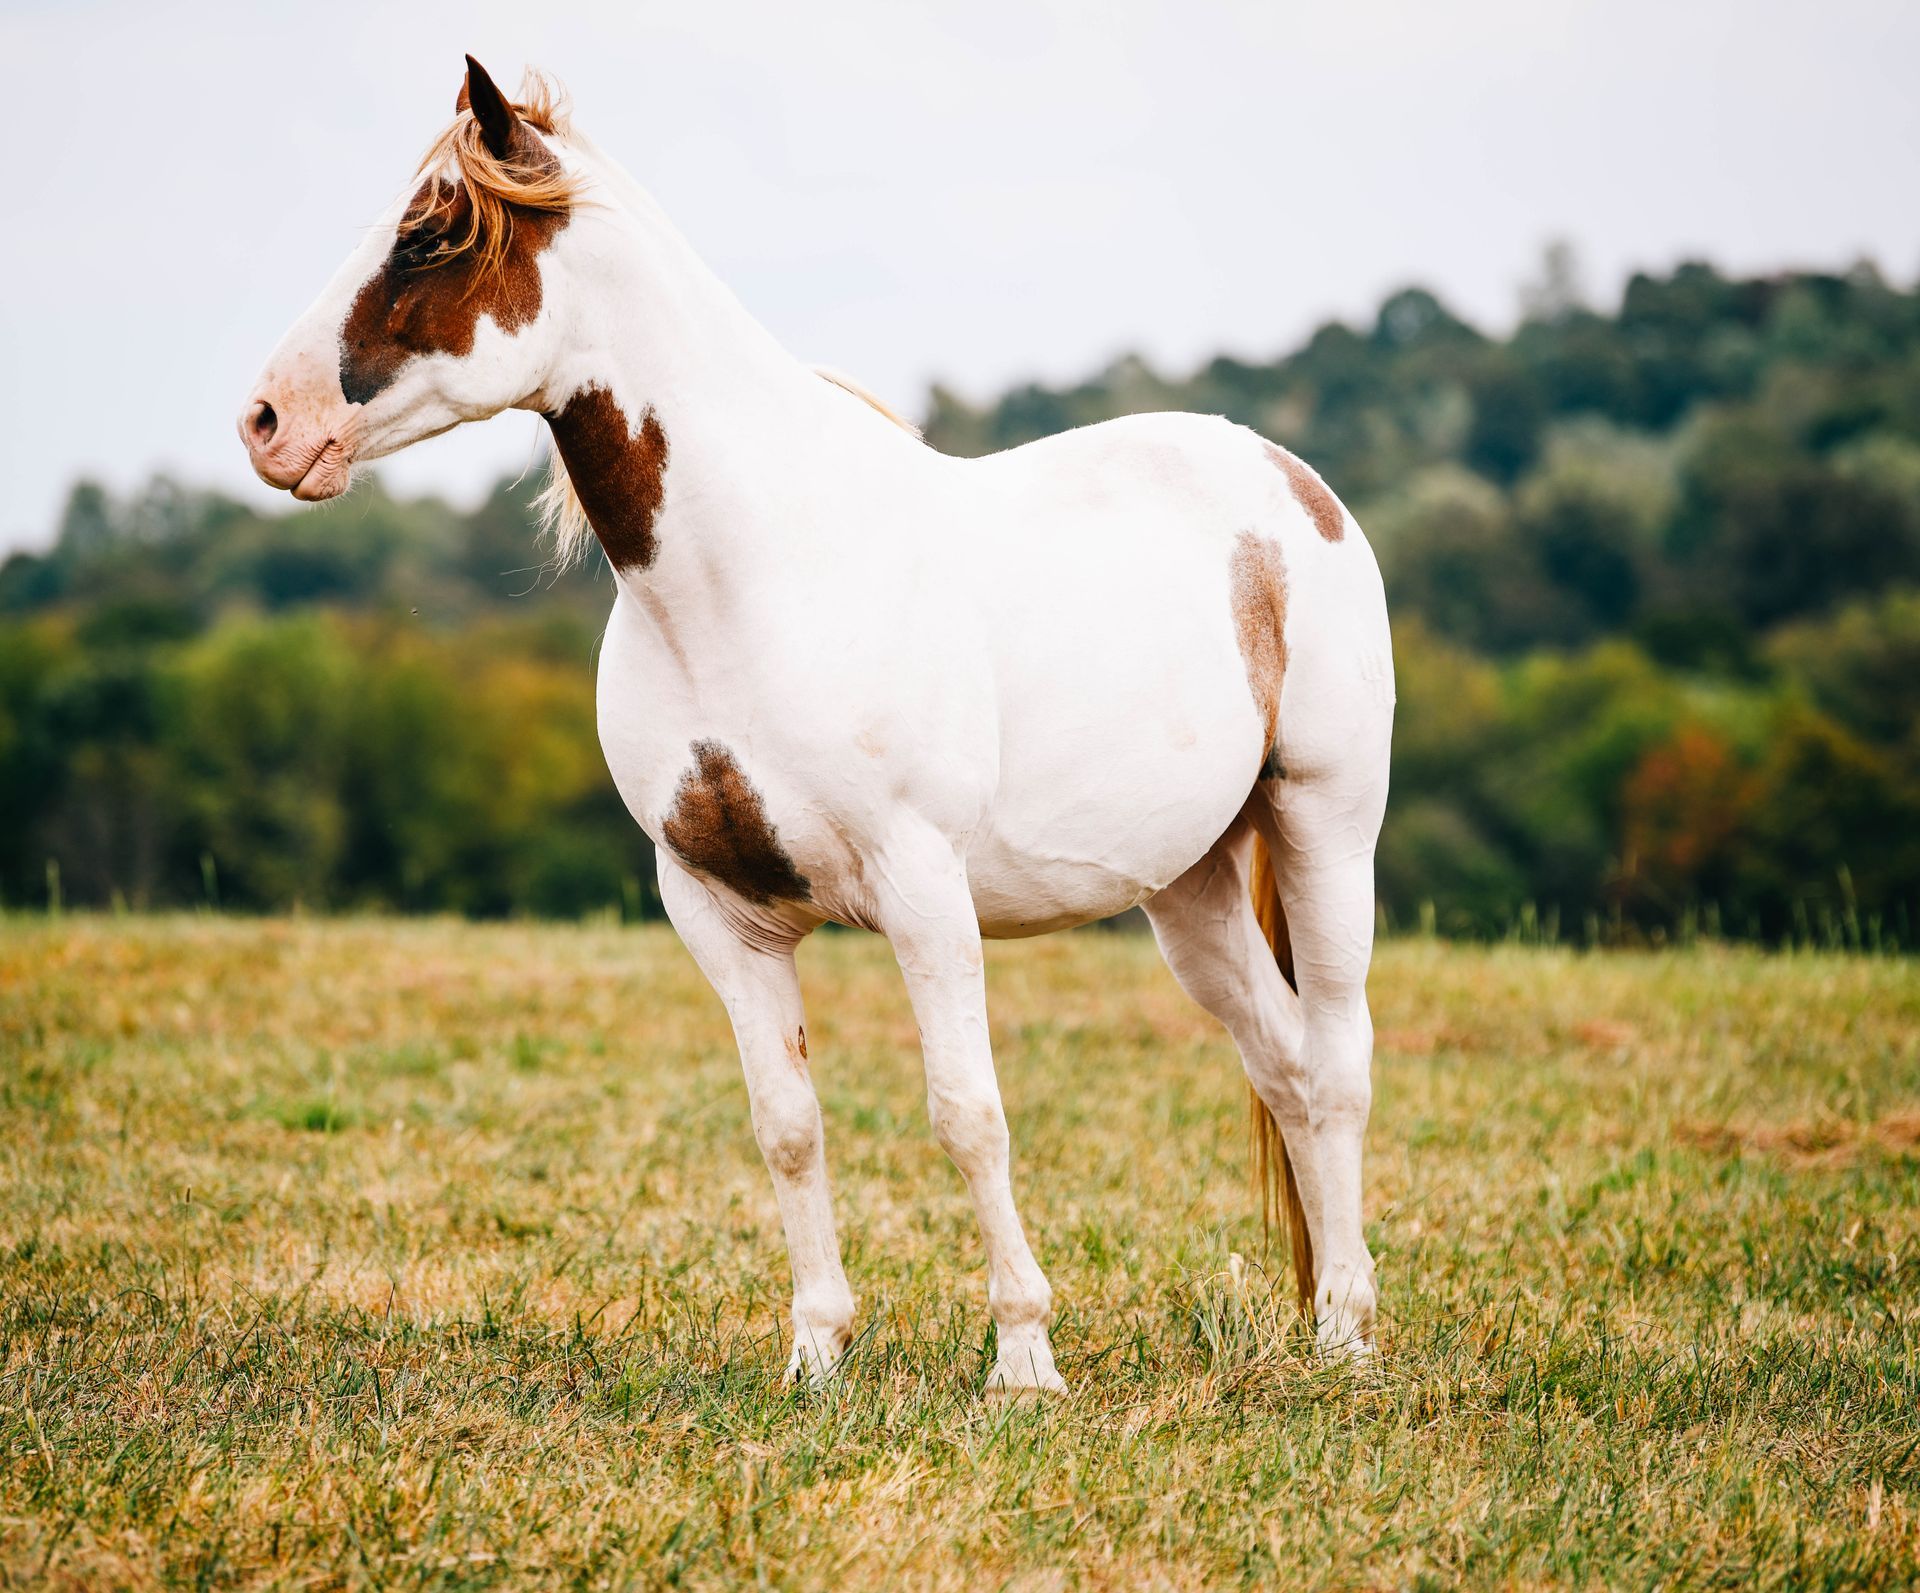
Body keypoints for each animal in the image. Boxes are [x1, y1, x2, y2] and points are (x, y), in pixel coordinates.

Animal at [247, 56, 1405, 1389]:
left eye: (429, 235)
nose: (267, 421)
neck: (750, 577)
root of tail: (1290, 486)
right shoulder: (717, 910)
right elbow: (787, 1124)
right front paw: (817, 1356)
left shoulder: (924, 892)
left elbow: (967, 1114)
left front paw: (1023, 1362)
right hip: (1191, 888)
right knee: (1283, 1065)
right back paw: (1323, 1329)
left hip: (1324, 830)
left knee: (1337, 1068)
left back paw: (1351, 1335)